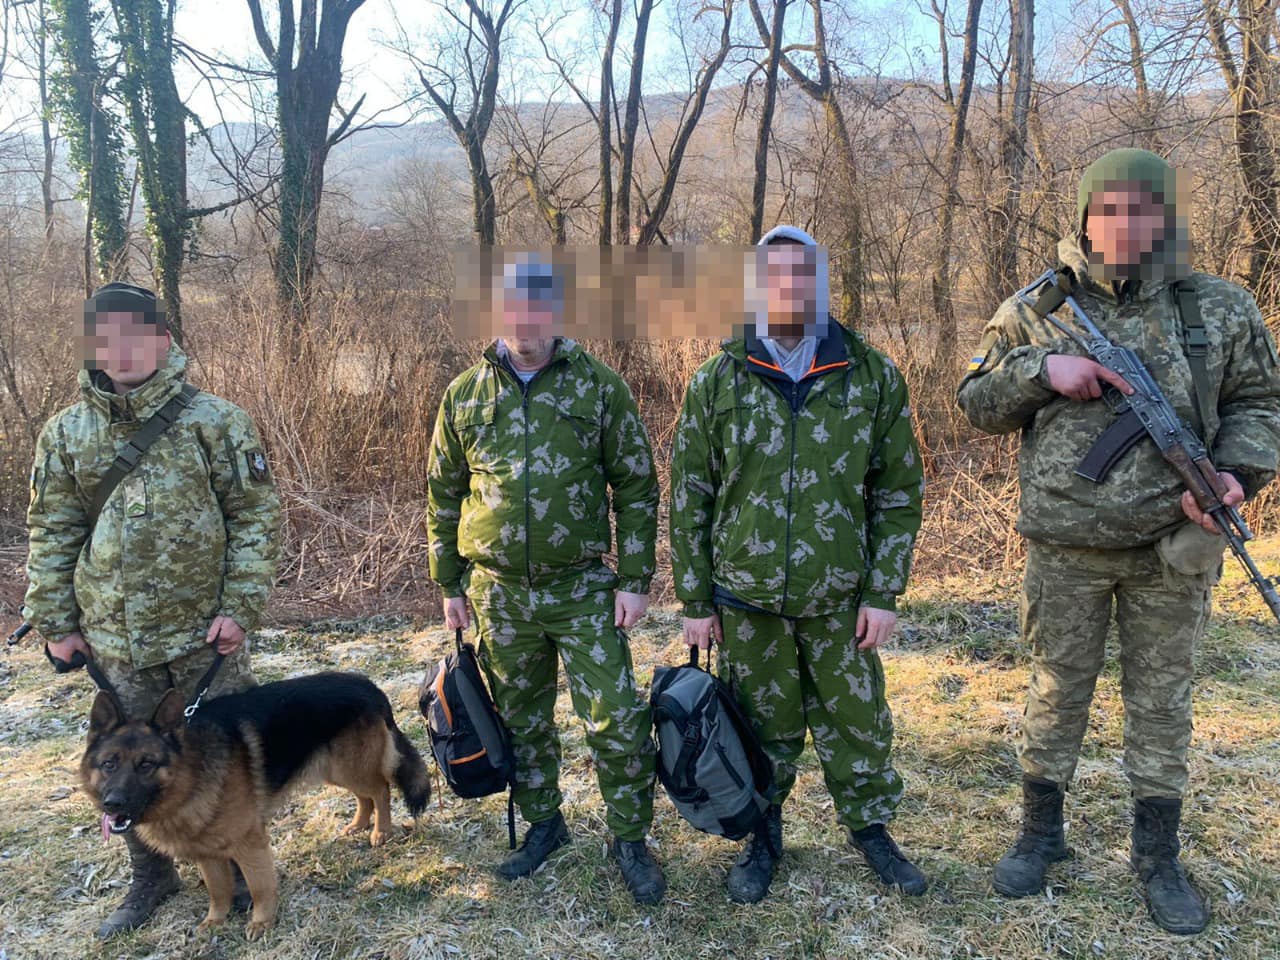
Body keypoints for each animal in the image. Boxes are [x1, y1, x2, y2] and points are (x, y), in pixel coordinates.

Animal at [80, 670, 430, 942]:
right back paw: (358, 824)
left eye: (146, 765)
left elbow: (260, 886)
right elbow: (218, 890)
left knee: (380, 789)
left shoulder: (250, 844)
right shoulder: (208, 854)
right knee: (364, 795)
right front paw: (215, 921)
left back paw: (381, 831)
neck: (193, 770)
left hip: (348, 767)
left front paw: (261, 922)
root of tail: (367, 684)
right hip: (335, 769)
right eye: (109, 764)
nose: (112, 803)